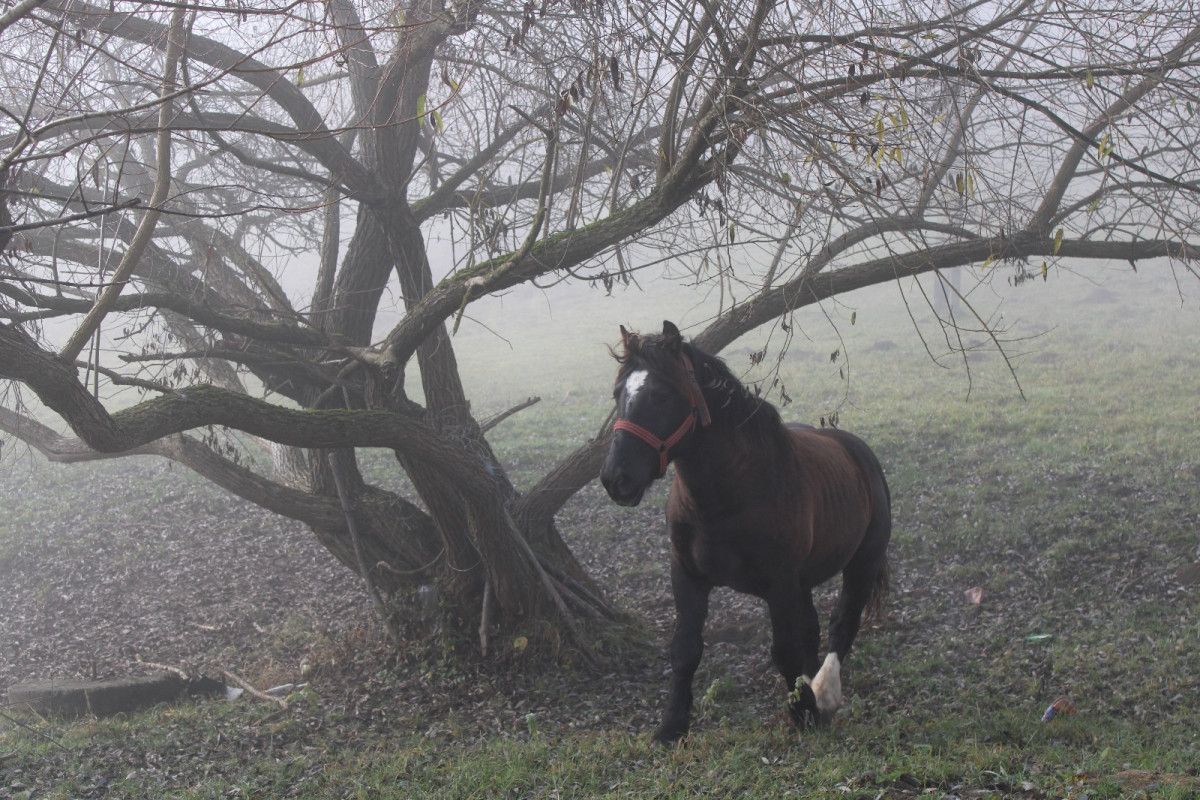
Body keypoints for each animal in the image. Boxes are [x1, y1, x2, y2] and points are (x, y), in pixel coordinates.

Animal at [600, 321, 891, 744]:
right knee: (813, 630)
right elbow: (686, 650)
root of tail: (859, 452)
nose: (616, 479)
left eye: (661, 394)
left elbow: (784, 650)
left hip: (862, 563)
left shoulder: (780, 582)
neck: (727, 496)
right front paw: (671, 726)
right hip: (804, 581)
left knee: (843, 622)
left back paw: (824, 692)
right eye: (618, 393)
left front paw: (803, 712)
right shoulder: (687, 576)